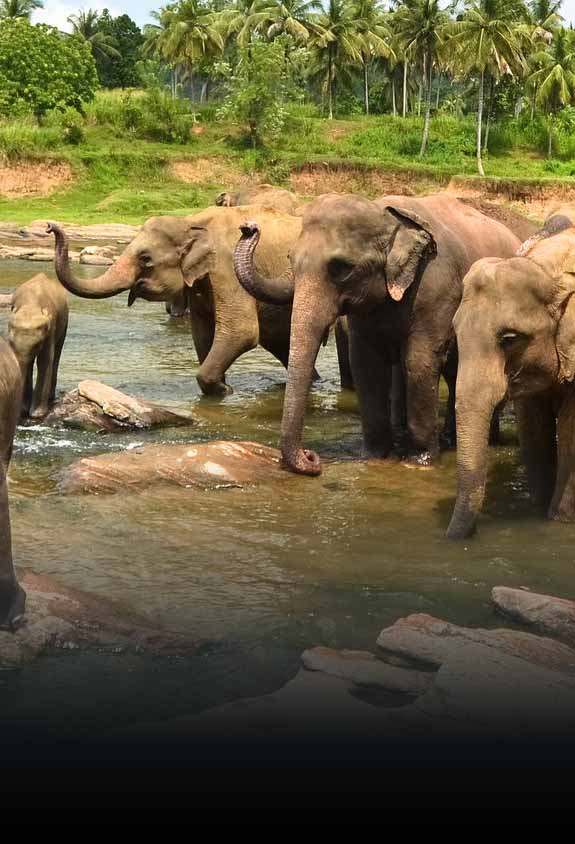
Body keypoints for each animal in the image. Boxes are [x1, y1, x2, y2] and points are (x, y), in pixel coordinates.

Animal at [7, 274, 69, 418]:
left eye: (37, 345)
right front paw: (23, 410)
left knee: (57, 354)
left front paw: (37, 414)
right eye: (11, 343)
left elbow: (45, 360)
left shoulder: (50, 328)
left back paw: (51, 398)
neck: (31, 306)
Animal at [47, 209, 348, 398]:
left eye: (146, 259)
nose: (50, 226)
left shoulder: (226, 270)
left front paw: (225, 391)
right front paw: (222, 388)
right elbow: (202, 334)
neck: (192, 222)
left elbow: (241, 332)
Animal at [235, 194, 528, 478]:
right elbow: (365, 364)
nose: (249, 227)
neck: (385, 214)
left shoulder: (436, 290)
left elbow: (419, 362)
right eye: (290, 259)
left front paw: (418, 463)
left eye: (341, 267)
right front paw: (375, 457)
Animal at [448, 214, 575, 536]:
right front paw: (537, 509)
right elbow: (533, 427)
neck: (549, 269)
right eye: (455, 331)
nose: (450, 538)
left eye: (509, 339)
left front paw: (561, 520)